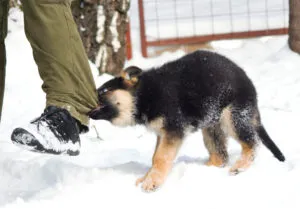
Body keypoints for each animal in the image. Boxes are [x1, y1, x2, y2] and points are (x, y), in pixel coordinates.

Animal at [88, 50, 284, 191]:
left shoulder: (172, 130)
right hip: (211, 124)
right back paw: (205, 169)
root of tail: (248, 82)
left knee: (252, 142)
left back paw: (240, 166)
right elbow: (155, 157)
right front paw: (147, 177)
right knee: (220, 155)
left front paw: (153, 181)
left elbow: (160, 157)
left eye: (104, 91)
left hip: (232, 117)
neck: (143, 95)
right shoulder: (162, 133)